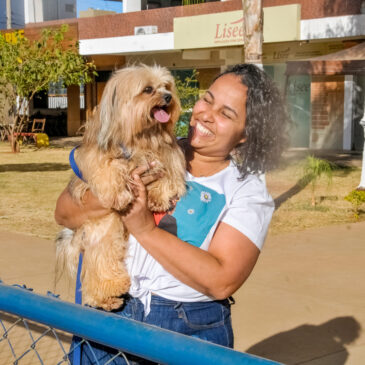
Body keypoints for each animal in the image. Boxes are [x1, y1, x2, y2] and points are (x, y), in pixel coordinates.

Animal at [55, 64, 186, 310]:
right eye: (148, 89)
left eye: (167, 86)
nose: (168, 97)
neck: (140, 137)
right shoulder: (94, 157)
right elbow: (109, 168)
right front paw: (119, 194)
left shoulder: (166, 154)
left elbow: (169, 173)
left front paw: (159, 197)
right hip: (106, 227)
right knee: (101, 260)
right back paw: (107, 295)